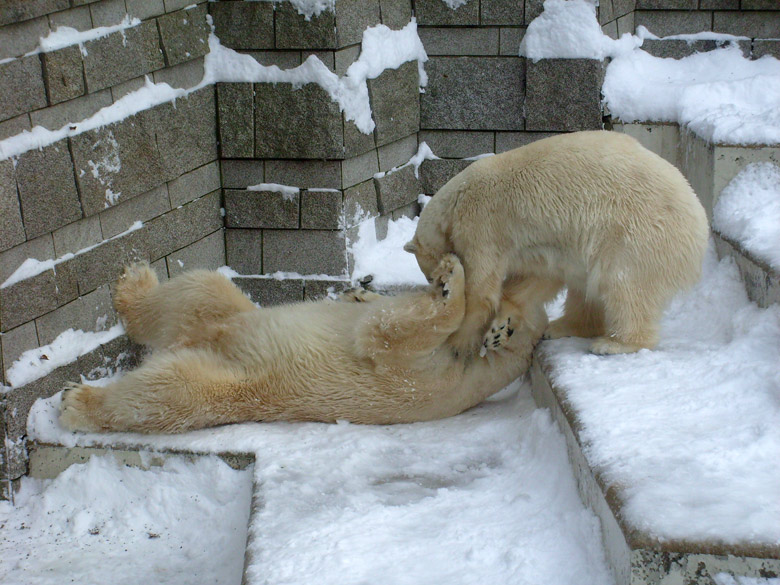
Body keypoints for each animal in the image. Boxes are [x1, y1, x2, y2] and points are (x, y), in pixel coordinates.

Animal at [59, 256, 548, 434]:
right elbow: (378, 314)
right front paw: (360, 293)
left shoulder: (433, 378)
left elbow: (384, 338)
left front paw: (451, 281)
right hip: (227, 315)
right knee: (197, 289)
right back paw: (135, 284)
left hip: (231, 378)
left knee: (167, 393)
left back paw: (77, 402)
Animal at [406, 129, 708, 354]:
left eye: (431, 277)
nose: (435, 284)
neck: (455, 198)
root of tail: (700, 225)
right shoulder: (538, 246)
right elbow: (538, 278)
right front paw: (500, 328)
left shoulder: (481, 225)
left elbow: (481, 289)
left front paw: (458, 340)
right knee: (586, 287)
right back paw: (562, 327)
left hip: (635, 235)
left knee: (624, 286)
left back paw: (614, 344)